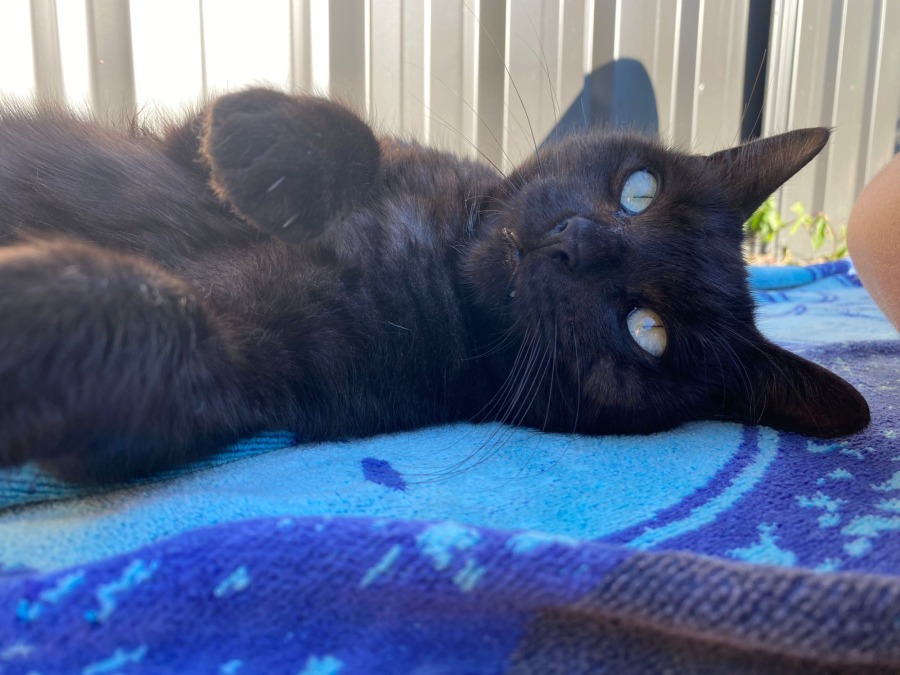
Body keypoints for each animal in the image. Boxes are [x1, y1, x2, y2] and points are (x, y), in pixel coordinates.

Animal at [0, 87, 869, 484]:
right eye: (638, 190)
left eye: (648, 331)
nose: (579, 241)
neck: (441, 263)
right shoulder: (172, 146)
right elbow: (348, 134)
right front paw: (258, 142)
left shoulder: (242, 376)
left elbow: (154, 325)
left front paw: (29, 316)